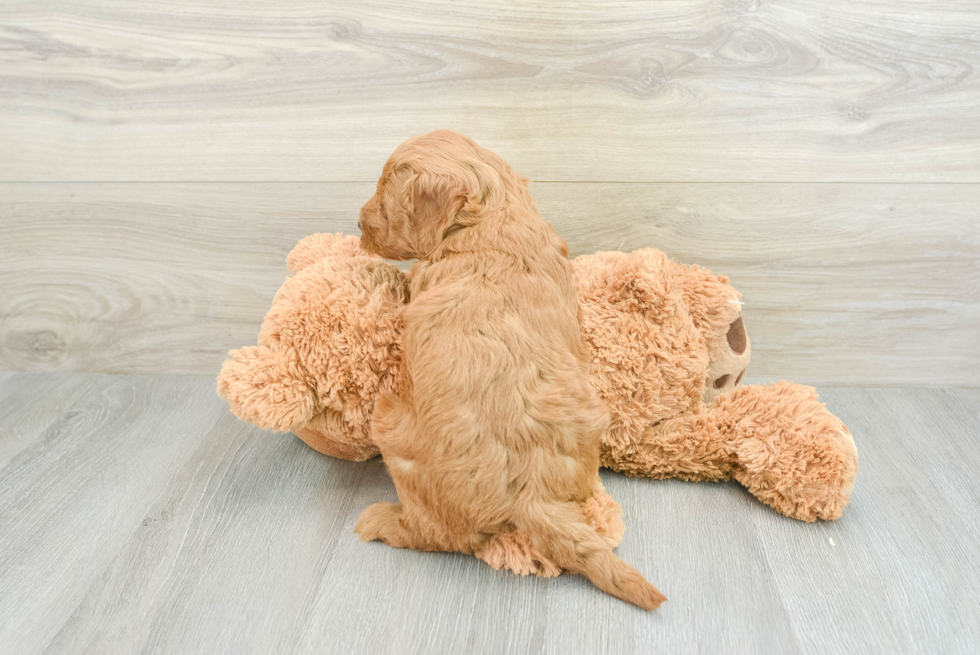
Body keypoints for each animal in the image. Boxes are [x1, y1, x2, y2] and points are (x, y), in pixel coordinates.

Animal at [354, 131, 668, 612]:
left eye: (385, 198)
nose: (357, 224)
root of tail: (531, 497)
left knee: (435, 534)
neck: (492, 217)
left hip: (391, 427)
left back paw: (381, 520)